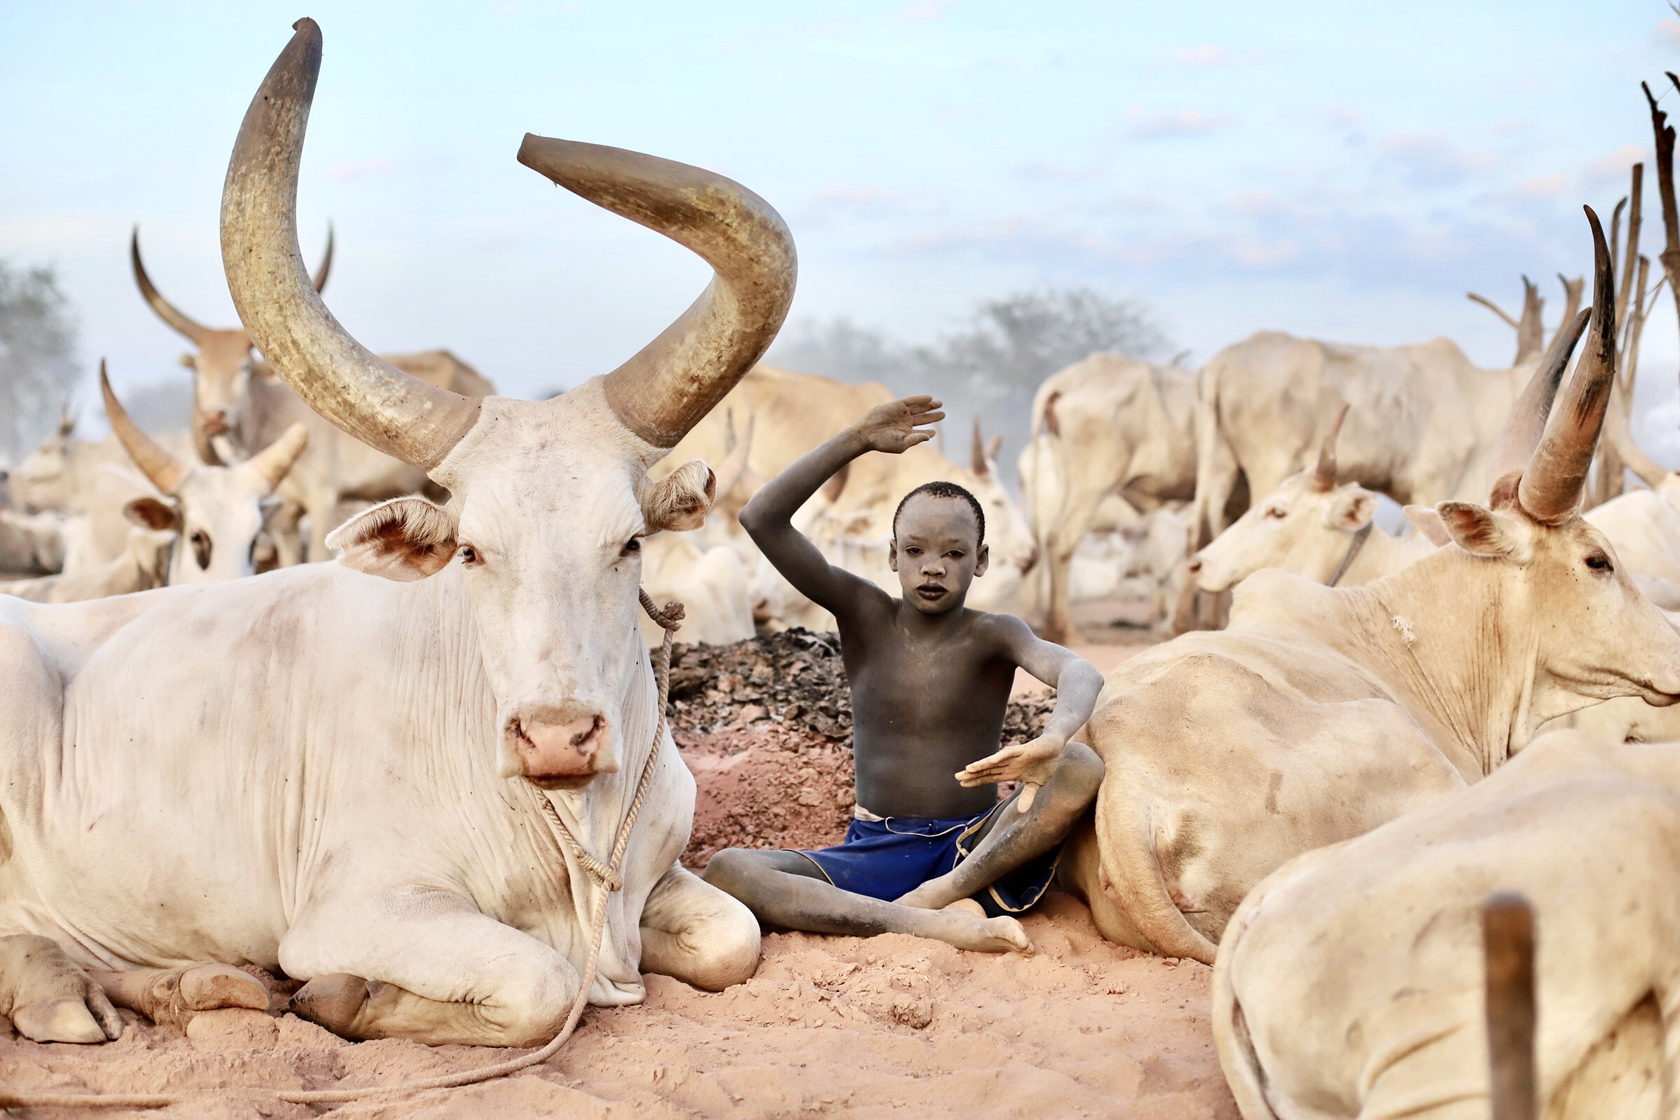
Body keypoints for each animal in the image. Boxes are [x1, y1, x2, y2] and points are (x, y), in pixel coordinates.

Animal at [0, 17, 792, 1054]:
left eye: (629, 544)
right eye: (472, 550)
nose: (556, 736)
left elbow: (735, 939)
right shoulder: (355, 913)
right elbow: (541, 985)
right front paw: (343, 997)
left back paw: (192, 985)